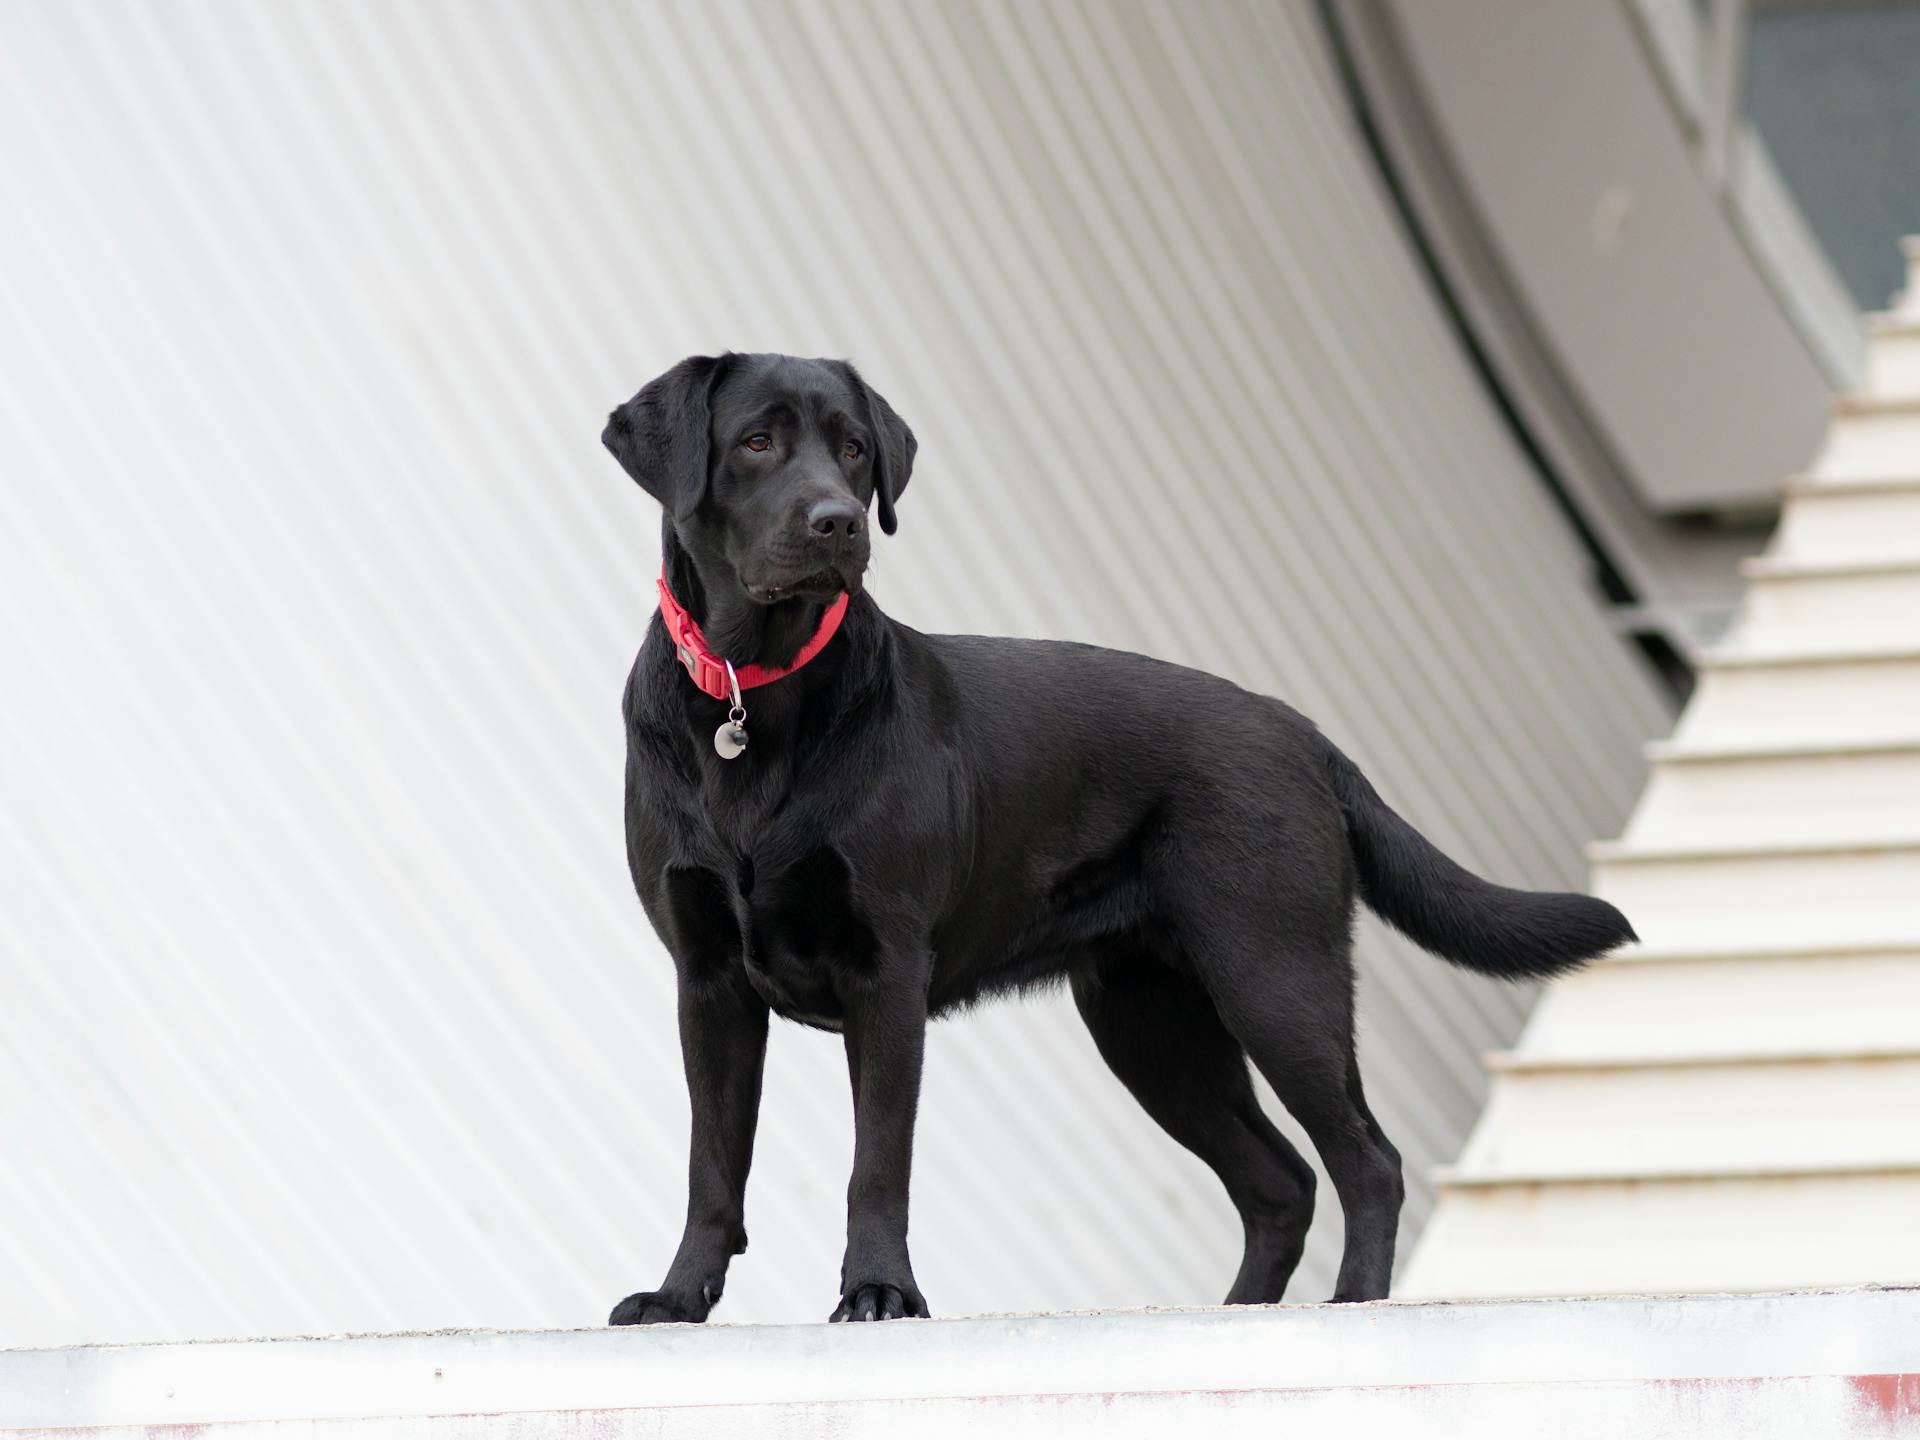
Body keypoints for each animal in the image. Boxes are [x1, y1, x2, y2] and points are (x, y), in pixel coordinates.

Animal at [602, 355, 1635, 1328]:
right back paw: (1236, 1314)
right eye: (757, 442)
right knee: (1282, 1183)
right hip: (1152, 1024)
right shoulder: (709, 981)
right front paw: (678, 1298)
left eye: (854, 449)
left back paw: (1354, 1305)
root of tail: (1304, 732)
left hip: (1275, 978)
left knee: (1366, 1160)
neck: (756, 697)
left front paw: (880, 1292)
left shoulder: (885, 972)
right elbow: (712, 1163)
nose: (838, 523)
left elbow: (878, 1161)